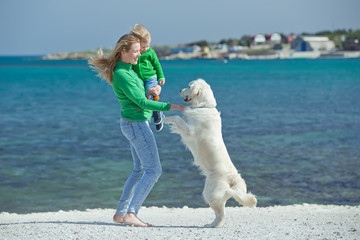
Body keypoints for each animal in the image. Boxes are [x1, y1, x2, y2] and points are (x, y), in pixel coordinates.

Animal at [163, 79, 256, 228]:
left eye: (189, 86)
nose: (179, 90)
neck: (204, 107)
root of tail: (233, 180)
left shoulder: (189, 130)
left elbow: (177, 117)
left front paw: (165, 119)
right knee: (220, 213)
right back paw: (210, 224)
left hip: (211, 194)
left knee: (221, 213)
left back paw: (212, 225)